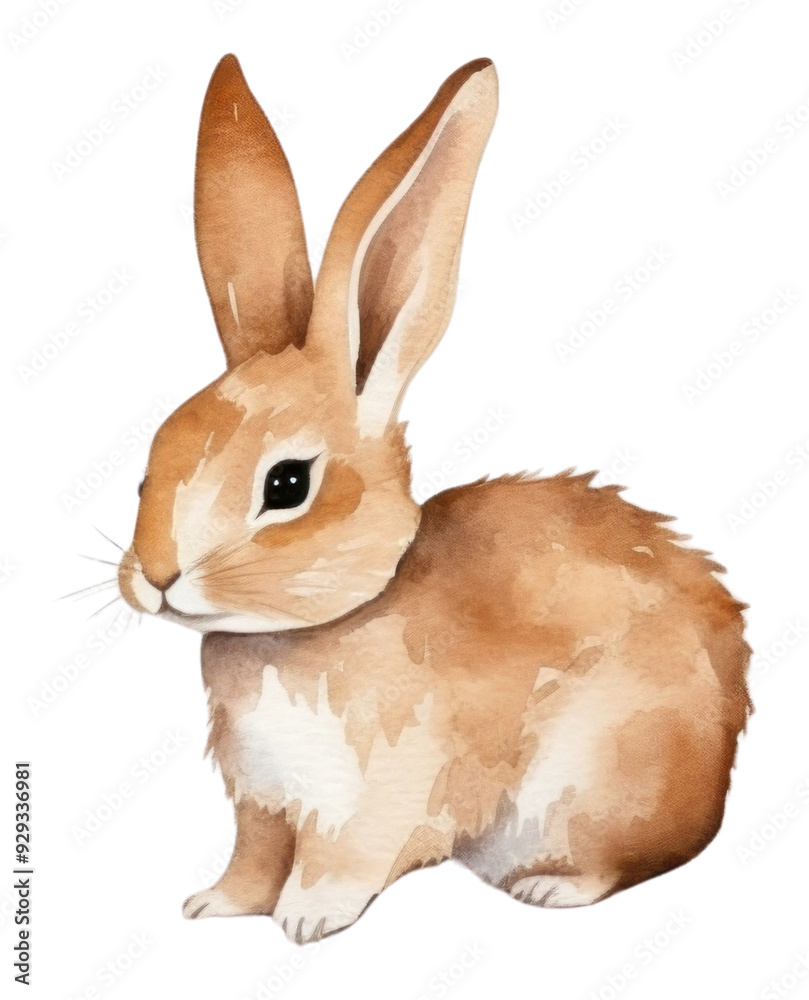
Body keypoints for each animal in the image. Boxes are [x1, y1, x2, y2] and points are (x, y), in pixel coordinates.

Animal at [117, 54, 751, 944]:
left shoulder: (378, 799)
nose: (157, 576)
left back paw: (549, 890)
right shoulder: (261, 807)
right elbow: (251, 862)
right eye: (147, 469)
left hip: (597, 781)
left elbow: (340, 864)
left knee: (627, 861)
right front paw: (213, 906)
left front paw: (305, 921)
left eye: (286, 485)